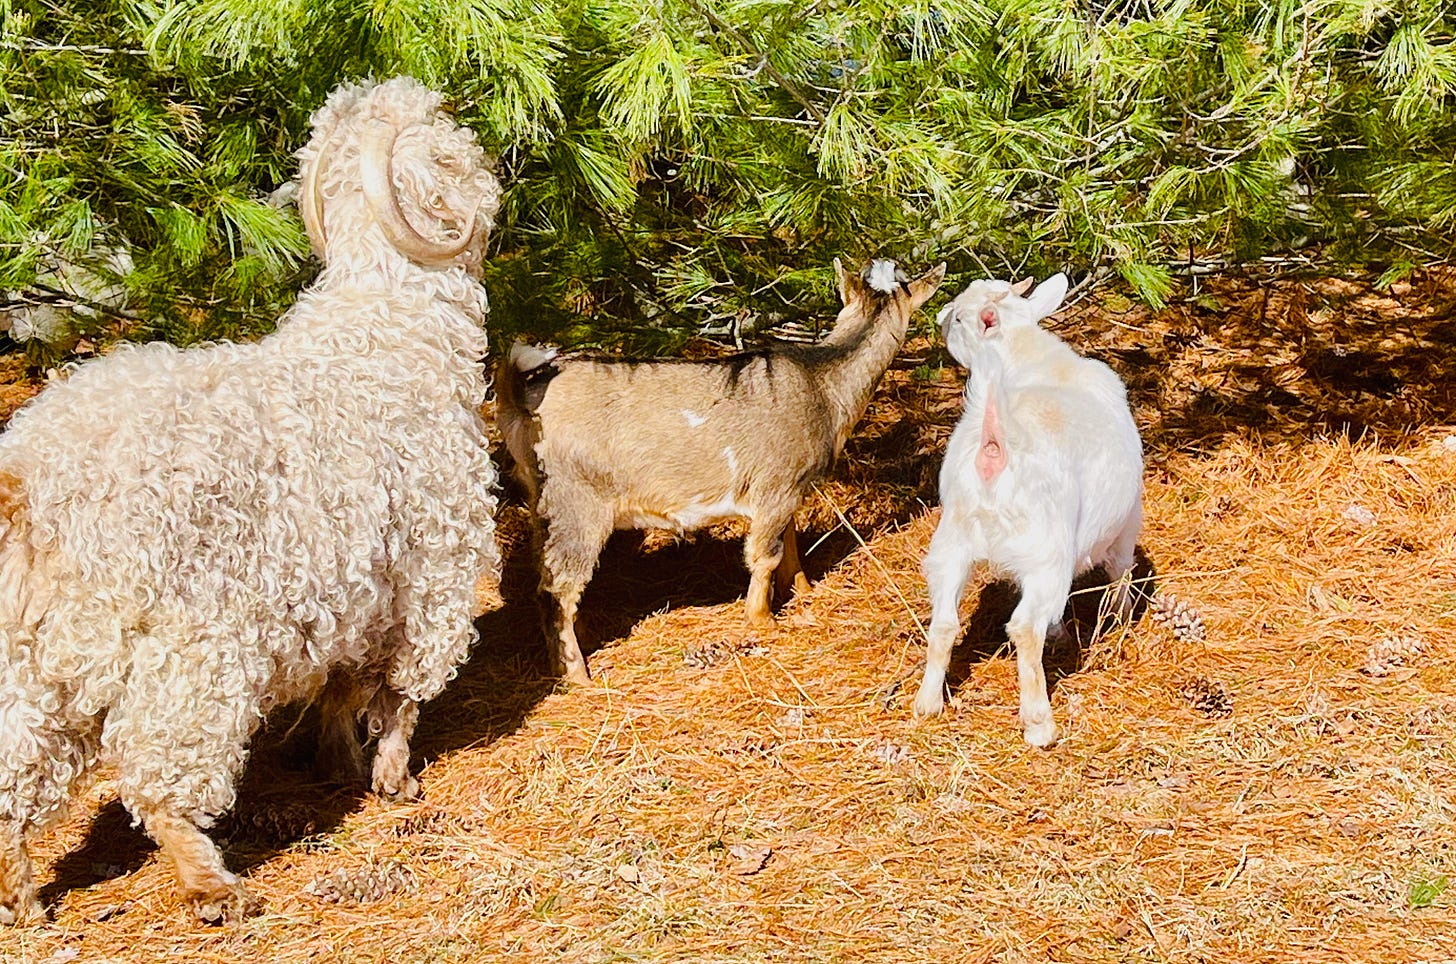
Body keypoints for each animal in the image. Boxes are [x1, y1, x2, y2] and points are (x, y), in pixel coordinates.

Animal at [0, 77, 502, 925]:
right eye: (449, 147)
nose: (494, 176)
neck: (390, 329)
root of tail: (25, 486)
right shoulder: (434, 569)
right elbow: (401, 690)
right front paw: (394, 778)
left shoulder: (351, 588)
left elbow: (339, 684)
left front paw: (336, 762)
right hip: (190, 651)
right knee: (159, 777)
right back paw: (213, 886)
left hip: (32, 663)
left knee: (12, 779)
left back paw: (19, 900)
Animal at [498, 259, 945, 684]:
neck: (821, 381)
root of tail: (521, 395)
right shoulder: (775, 488)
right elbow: (765, 555)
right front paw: (763, 620)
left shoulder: (788, 491)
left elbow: (790, 542)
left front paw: (803, 590)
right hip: (576, 503)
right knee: (558, 588)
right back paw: (577, 675)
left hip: (543, 506)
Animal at [912, 273, 1143, 747]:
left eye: (959, 317)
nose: (941, 315)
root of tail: (994, 448)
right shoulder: (1127, 521)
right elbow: (1121, 572)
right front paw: (1123, 620)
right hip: (1046, 552)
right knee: (1024, 628)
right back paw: (1040, 724)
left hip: (952, 540)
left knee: (944, 622)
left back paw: (927, 704)